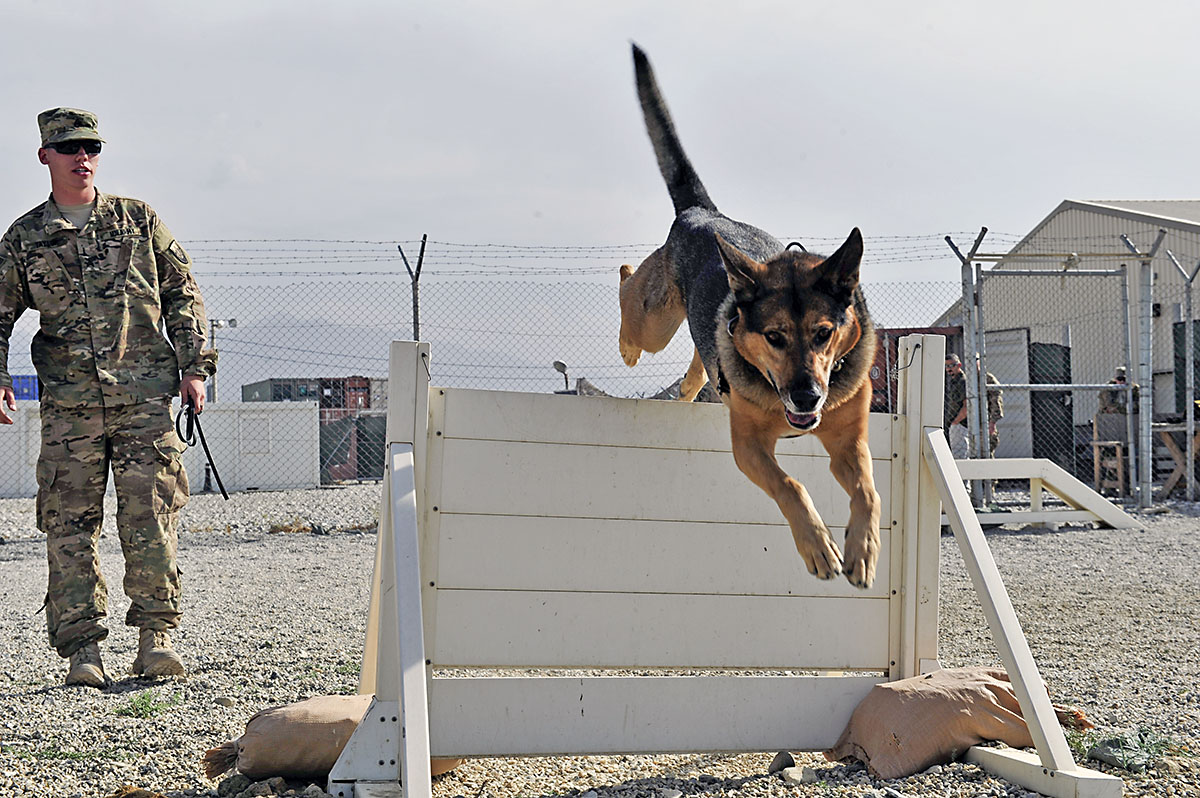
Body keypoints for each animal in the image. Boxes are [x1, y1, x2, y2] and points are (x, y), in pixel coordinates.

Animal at [618, 44, 880, 588]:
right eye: (774, 337)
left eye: (824, 334)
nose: (807, 396)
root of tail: (705, 213)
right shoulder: (749, 447)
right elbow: (790, 485)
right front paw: (818, 547)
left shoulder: (850, 442)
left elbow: (867, 491)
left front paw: (862, 550)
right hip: (654, 320)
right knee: (632, 299)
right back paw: (629, 339)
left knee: (700, 359)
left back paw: (688, 388)